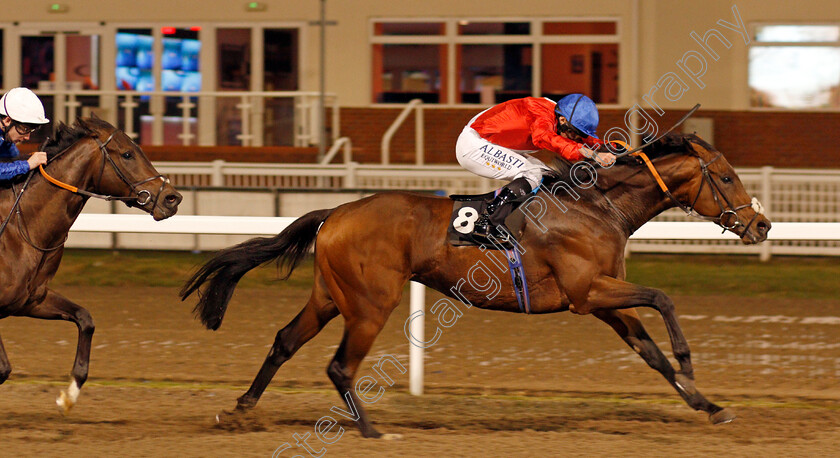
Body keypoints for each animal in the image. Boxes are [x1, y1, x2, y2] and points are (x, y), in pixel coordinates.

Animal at [0, 116, 180, 414]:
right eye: (127, 154)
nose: (172, 198)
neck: (21, 226)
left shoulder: (31, 300)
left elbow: (85, 320)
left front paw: (68, 396)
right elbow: (3, 369)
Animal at [182, 132, 768, 436]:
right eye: (727, 177)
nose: (762, 225)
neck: (597, 208)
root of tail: (337, 211)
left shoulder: (604, 300)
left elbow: (652, 356)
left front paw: (708, 405)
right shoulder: (587, 294)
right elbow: (663, 299)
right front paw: (691, 362)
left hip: (330, 296)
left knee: (285, 341)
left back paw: (241, 409)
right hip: (371, 303)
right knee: (340, 365)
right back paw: (370, 429)